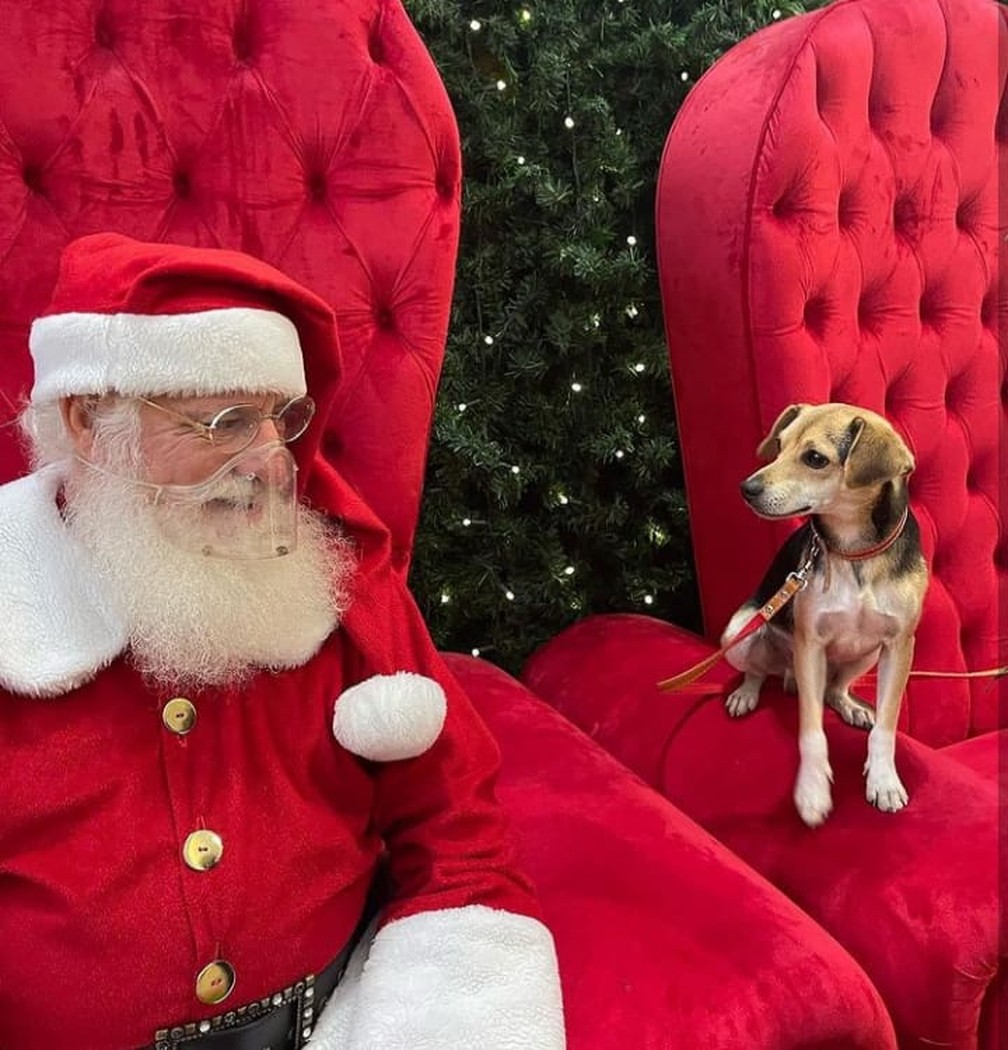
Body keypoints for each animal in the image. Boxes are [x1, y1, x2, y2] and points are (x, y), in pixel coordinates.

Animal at [722, 401, 923, 827]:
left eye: (815, 458)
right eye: (778, 445)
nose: (746, 489)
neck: (854, 550)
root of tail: (786, 676)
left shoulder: (899, 646)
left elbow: (887, 726)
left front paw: (883, 781)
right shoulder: (809, 644)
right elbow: (812, 731)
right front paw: (812, 791)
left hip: (865, 654)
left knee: (834, 688)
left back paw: (851, 706)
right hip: (740, 632)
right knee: (758, 669)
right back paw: (746, 694)